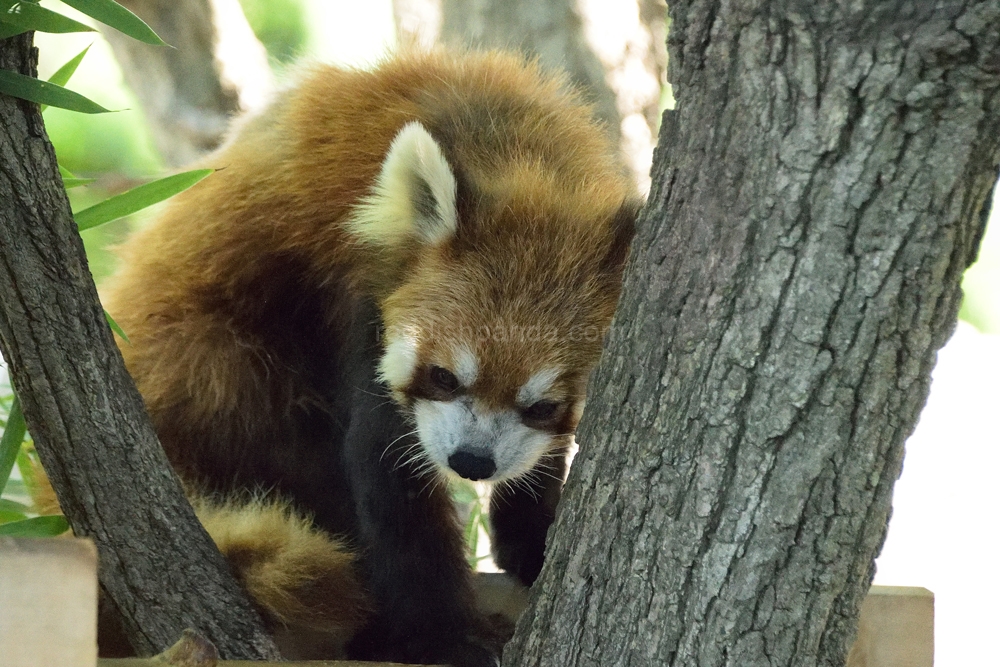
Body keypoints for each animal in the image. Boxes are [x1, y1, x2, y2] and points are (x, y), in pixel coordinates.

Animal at [99, 49, 632, 664]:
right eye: (444, 377)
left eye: (544, 406)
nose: (472, 462)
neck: (513, 151)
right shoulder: (356, 297)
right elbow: (384, 464)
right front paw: (441, 637)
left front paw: (532, 539)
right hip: (208, 362)